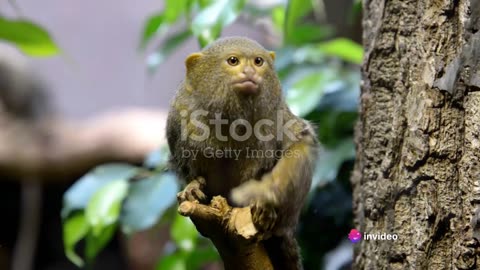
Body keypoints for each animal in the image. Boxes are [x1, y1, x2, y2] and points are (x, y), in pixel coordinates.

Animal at [167, 36, 316, 270]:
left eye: (258, 61)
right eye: (233, 61)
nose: (249, 72)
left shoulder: (277, 113)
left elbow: (300, 144)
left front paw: (266, 198)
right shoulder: (179, 116)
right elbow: (185, 167)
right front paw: (192, 187)